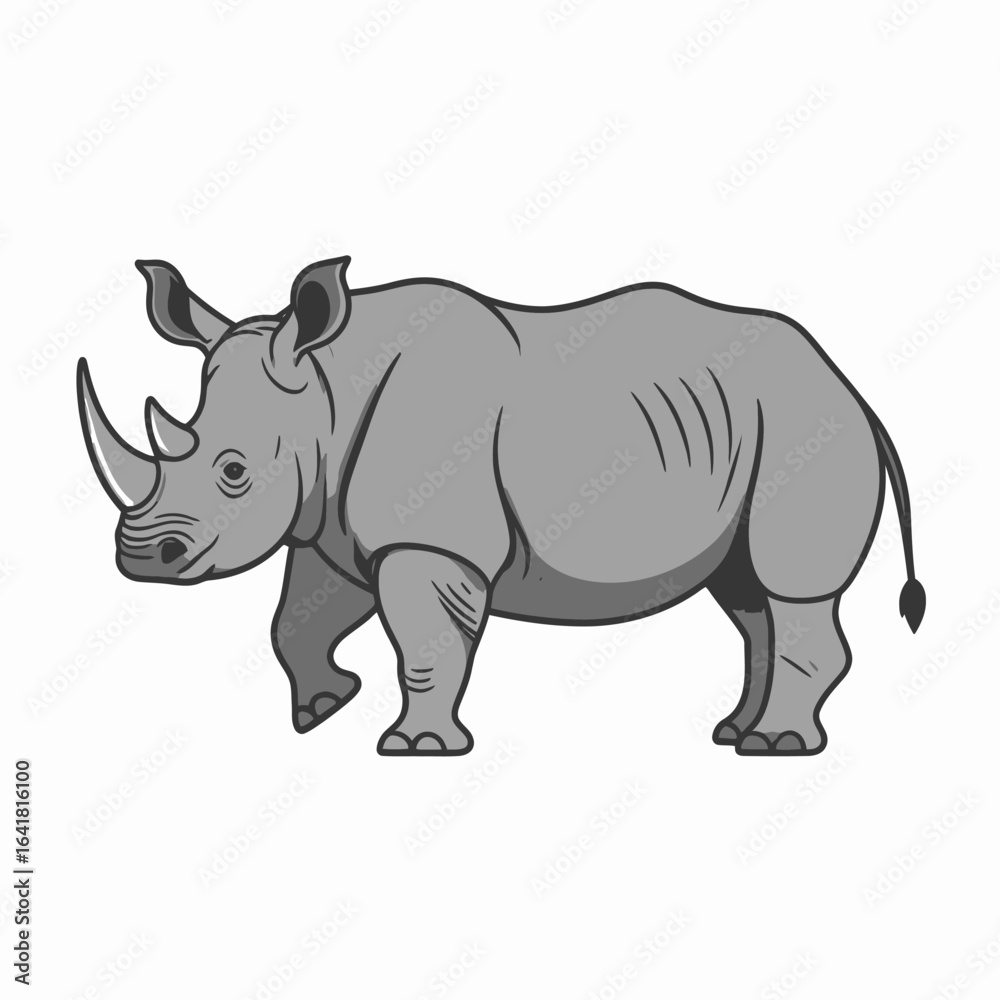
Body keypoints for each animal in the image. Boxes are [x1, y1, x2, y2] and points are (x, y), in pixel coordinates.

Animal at [77, 256, 925, 756]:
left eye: (233, 471)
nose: (141, 558)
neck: (323, 394)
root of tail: (851, 385)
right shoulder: (329, 526)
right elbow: (296, 620)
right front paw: (323, 708)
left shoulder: (430, 540)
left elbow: (424, 645)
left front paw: (416, 749)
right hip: (746, 429)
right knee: (749, 596)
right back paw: (734, 732)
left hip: (805, 428)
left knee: (790, 588)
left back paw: (776, 747)